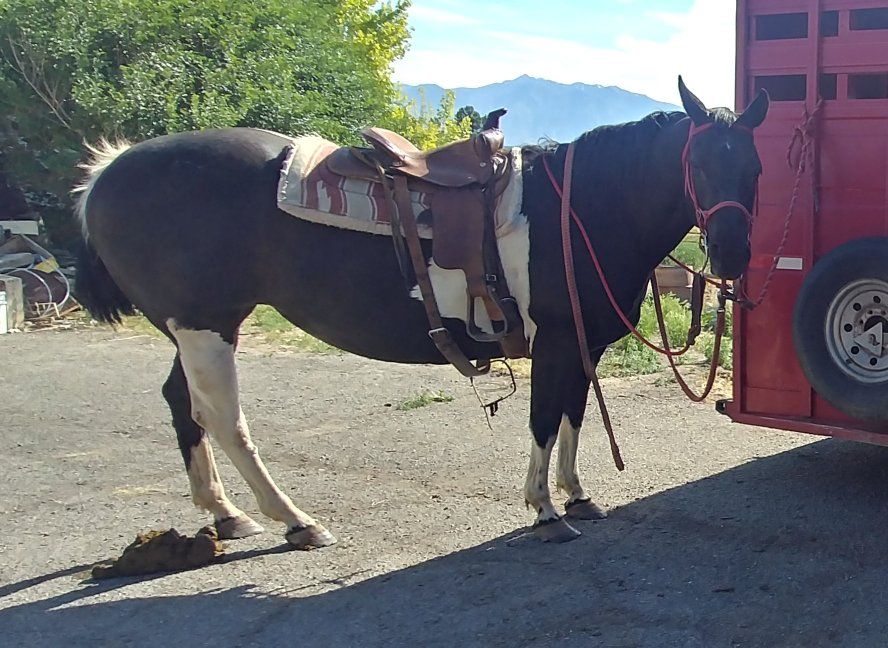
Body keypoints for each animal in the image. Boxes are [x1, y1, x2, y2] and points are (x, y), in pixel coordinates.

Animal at [73, 78, 768, 547]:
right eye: (699, 163)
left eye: (755, 166)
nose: (733, 253)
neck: (577, 207)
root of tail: (107, 172)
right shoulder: (554, 340)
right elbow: (546, 417)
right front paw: (543, 509)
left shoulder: (580, 339)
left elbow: (572, 413)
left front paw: (576, 496)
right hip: (206, 327)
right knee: (222, 418)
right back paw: (295, 521)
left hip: (193, 330)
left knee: (182, 404)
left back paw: (226, 514)